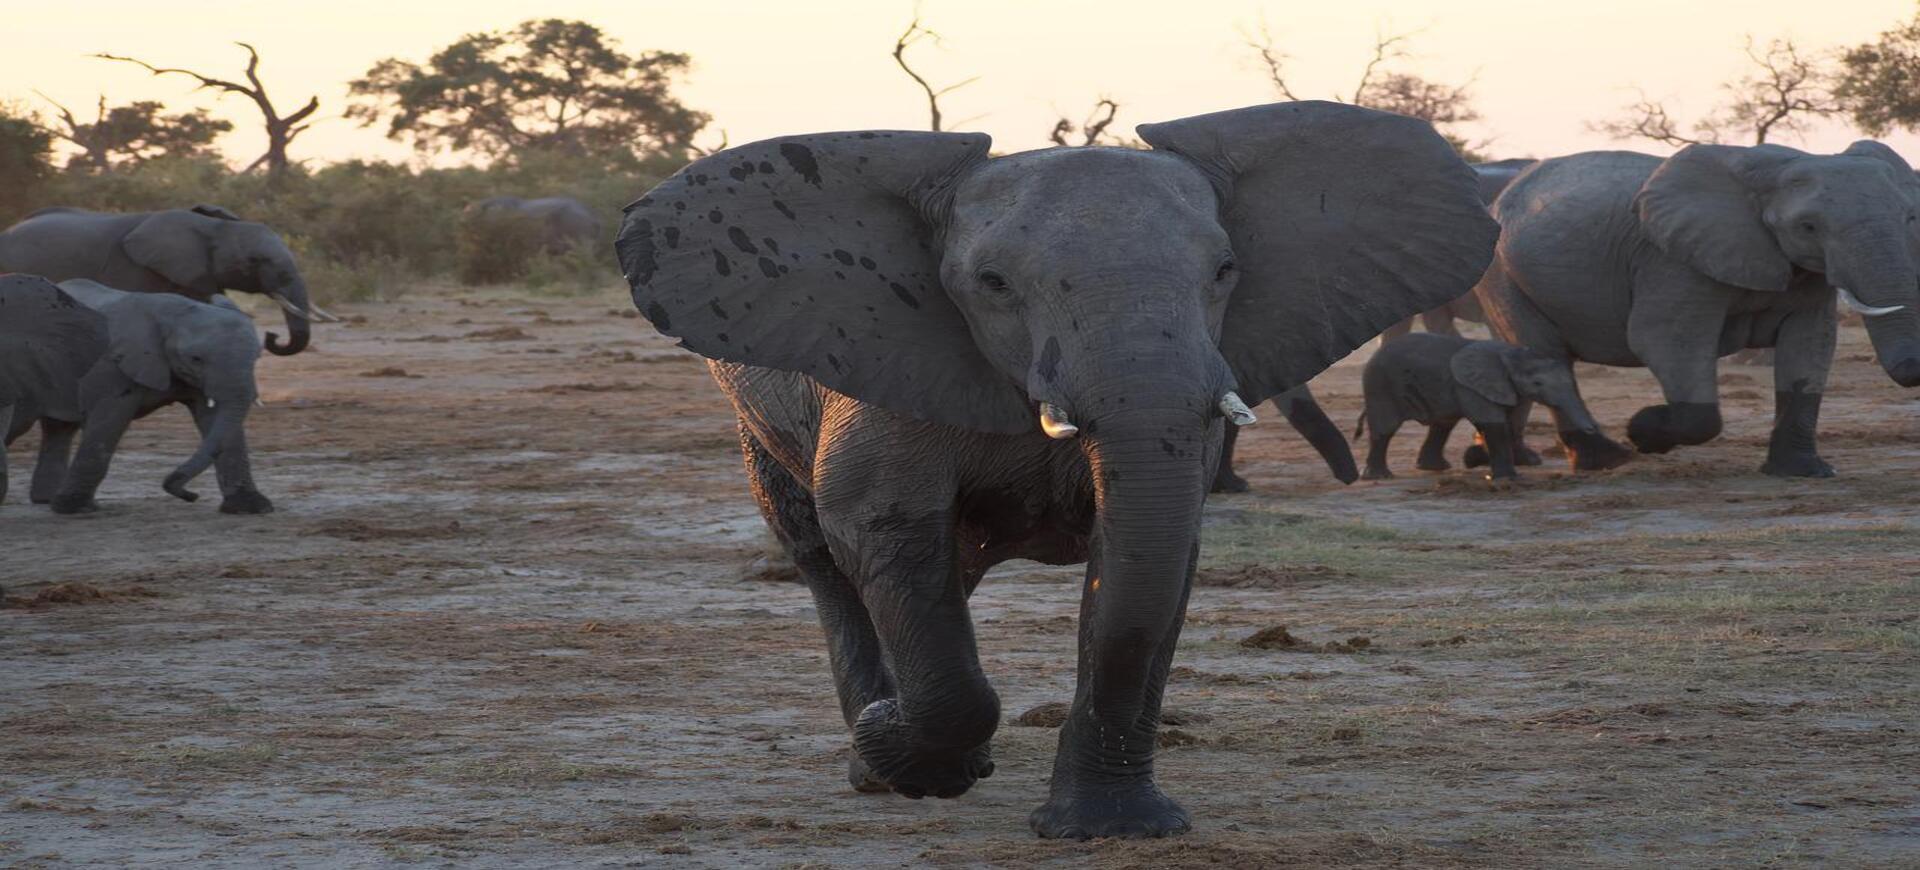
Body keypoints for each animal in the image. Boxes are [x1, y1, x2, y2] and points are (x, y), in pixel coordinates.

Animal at [45, 279, 272, 515]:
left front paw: (251, 508)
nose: (191, 496)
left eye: (257, 357)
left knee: (58, 429)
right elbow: (108, 421)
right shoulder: (109, 364)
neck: (173, 315)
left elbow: (218, 421)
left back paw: (46, 499)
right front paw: (75, 508)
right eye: (196, 359)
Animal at [1354, 333, 1600, 482]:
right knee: (1385, 428)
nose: (1591, 428)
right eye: (1537, 384)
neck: (1511, 354)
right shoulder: (1472, 386)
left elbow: (1509, 423)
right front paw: (1507, 479)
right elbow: (1493, 423)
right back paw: (1380, 477)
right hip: (1379, 385)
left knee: (1442, 425)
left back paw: (1434, 468)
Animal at [1476, 142, 1920, 476]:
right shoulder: (1671, 260)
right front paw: (1642, 430)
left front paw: (1804, 472)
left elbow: (1810, 343)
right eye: (1808, 227)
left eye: (1909, 217)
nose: (1911, 370)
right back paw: (1607, 459)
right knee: (1546, 357)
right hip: (1502, 275)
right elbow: (1666, 341)